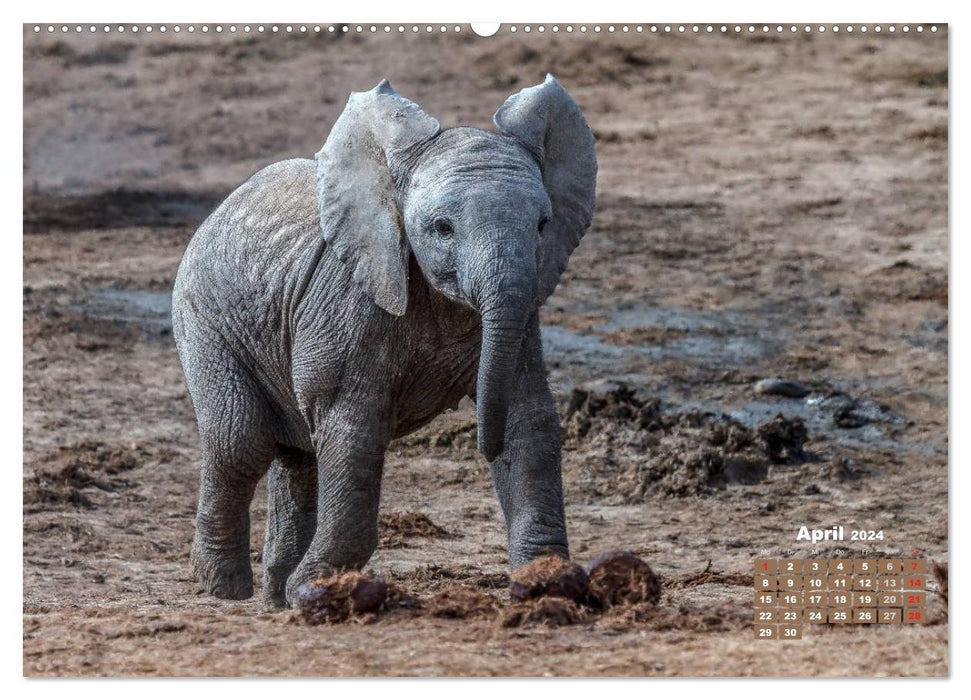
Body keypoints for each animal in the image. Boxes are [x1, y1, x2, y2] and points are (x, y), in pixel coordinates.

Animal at [176, 72, 600, 608]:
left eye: (544, 225)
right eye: (442, 228)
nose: (484, 446)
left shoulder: (523, 316)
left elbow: (529, 420)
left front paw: (550, 585)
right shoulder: (348, 301)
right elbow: (353, 427)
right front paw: (317, 589)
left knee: (298, 454)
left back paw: (274, 599)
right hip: (203, 319)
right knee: (241, 443)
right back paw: (226, 589)